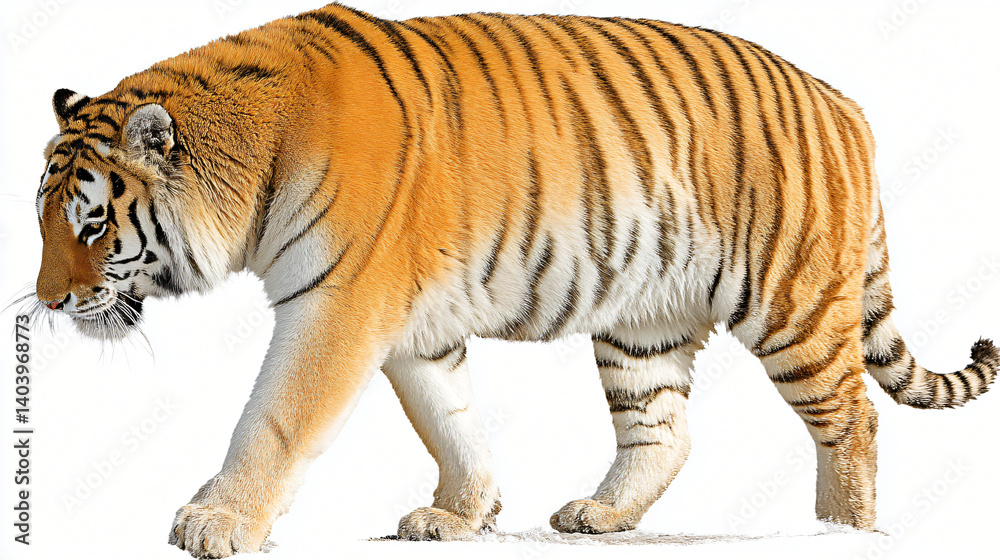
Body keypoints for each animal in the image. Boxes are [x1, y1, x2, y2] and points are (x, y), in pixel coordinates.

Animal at [30, 2, 997, 557]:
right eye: (43, 218)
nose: (47, 302)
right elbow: (450, 421)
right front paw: (463, 515)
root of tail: (847, 104)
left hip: (793, 305)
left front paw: (216, 522)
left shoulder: (336, 305)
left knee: (854, 418)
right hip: (643, 323)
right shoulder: (411, 326)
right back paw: (599, 518)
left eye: (91, 224)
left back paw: (843, 532)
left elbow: (274, 418)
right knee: (664, 430)